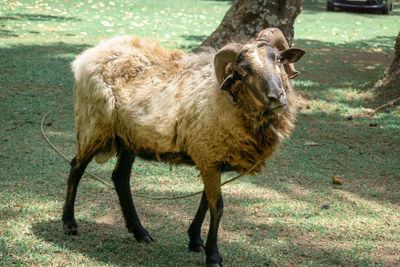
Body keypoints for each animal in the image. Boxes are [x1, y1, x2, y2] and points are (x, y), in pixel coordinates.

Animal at [62, 28, 304, 266]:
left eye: (278, 59)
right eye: (243, 71)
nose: (277, 97)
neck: (226, 98)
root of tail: (89, 55)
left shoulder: (212, 157)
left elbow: (206, 202)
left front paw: (195, 240)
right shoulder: (208, 157)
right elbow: (217, 206)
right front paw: (213, 255)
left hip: (129, 137)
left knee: (120, 178)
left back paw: (140, 232)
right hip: (94, 126)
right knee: (77, 167)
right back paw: (69, 223)